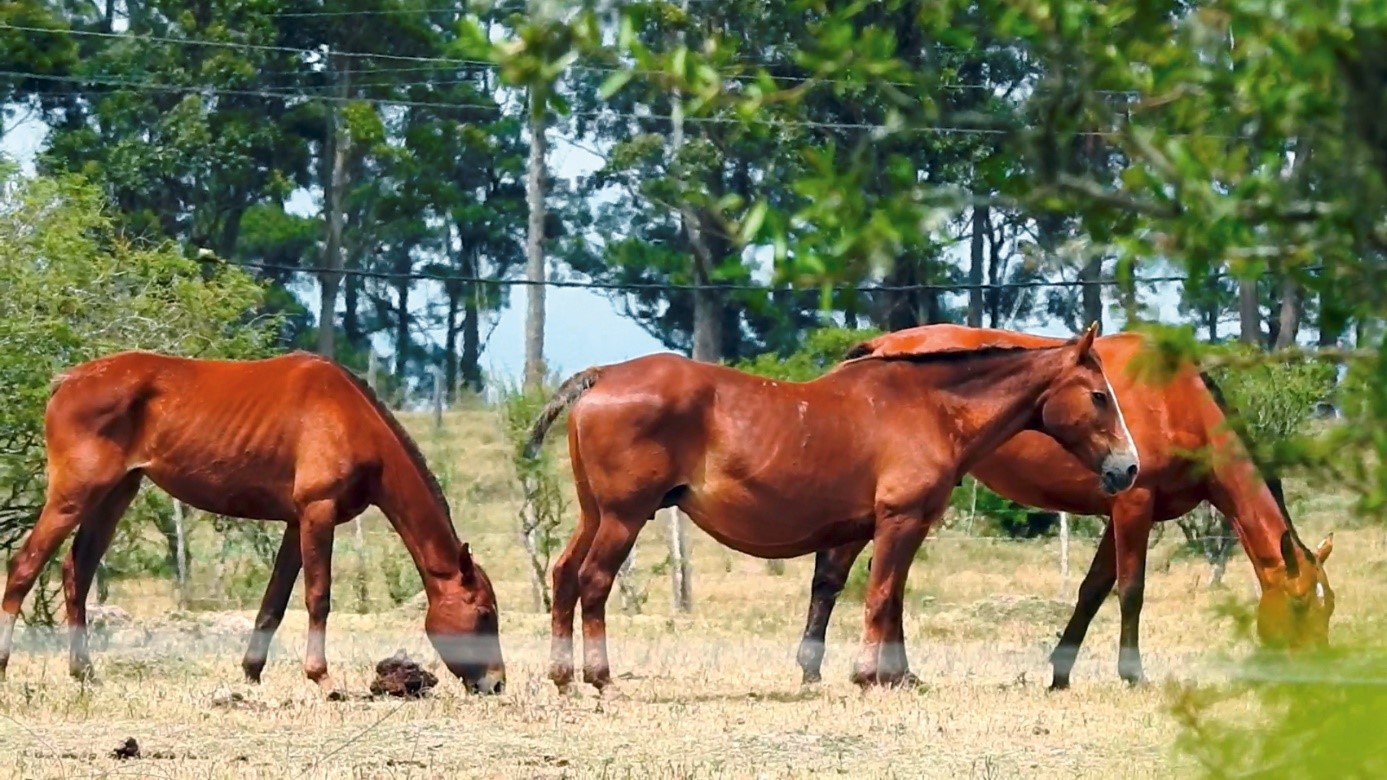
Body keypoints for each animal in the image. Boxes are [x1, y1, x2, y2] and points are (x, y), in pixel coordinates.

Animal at [0, 346, 510, 691]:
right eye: (484, 614)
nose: (497, 681)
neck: (350, 418)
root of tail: (68, 379)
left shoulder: (295, 522)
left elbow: (274, 602)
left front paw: (251, 672)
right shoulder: (317, 513)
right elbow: (318, 597)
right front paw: (323, 679)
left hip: (114, 495)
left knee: (77, 572)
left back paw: (84, 671)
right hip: (73, 496)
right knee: (24, 568)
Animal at [521, 324, 1137, 688]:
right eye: (1099, 395)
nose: (1128, 468)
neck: (930, 407)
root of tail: (603, 376)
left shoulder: (857, 530)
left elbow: (868, 597)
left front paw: (883, 675)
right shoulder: (899, 522)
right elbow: (882, 596)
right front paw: (870, 675)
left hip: (594, 514)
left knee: (565, 574)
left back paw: (561, 673)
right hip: (624, 517)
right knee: (595, 581)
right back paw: (599, 676)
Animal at [798, 324, 1337, 688]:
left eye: (1327, 609)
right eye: (1299, 605)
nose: (1318, 672)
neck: (1178, 402)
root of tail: (879, 346)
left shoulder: (1120, 510)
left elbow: (1092, 591)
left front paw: (1060, 672)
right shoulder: (1133, 505)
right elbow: (1131, 590)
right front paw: (1132, 674)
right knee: (843, 575)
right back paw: (822, 667)